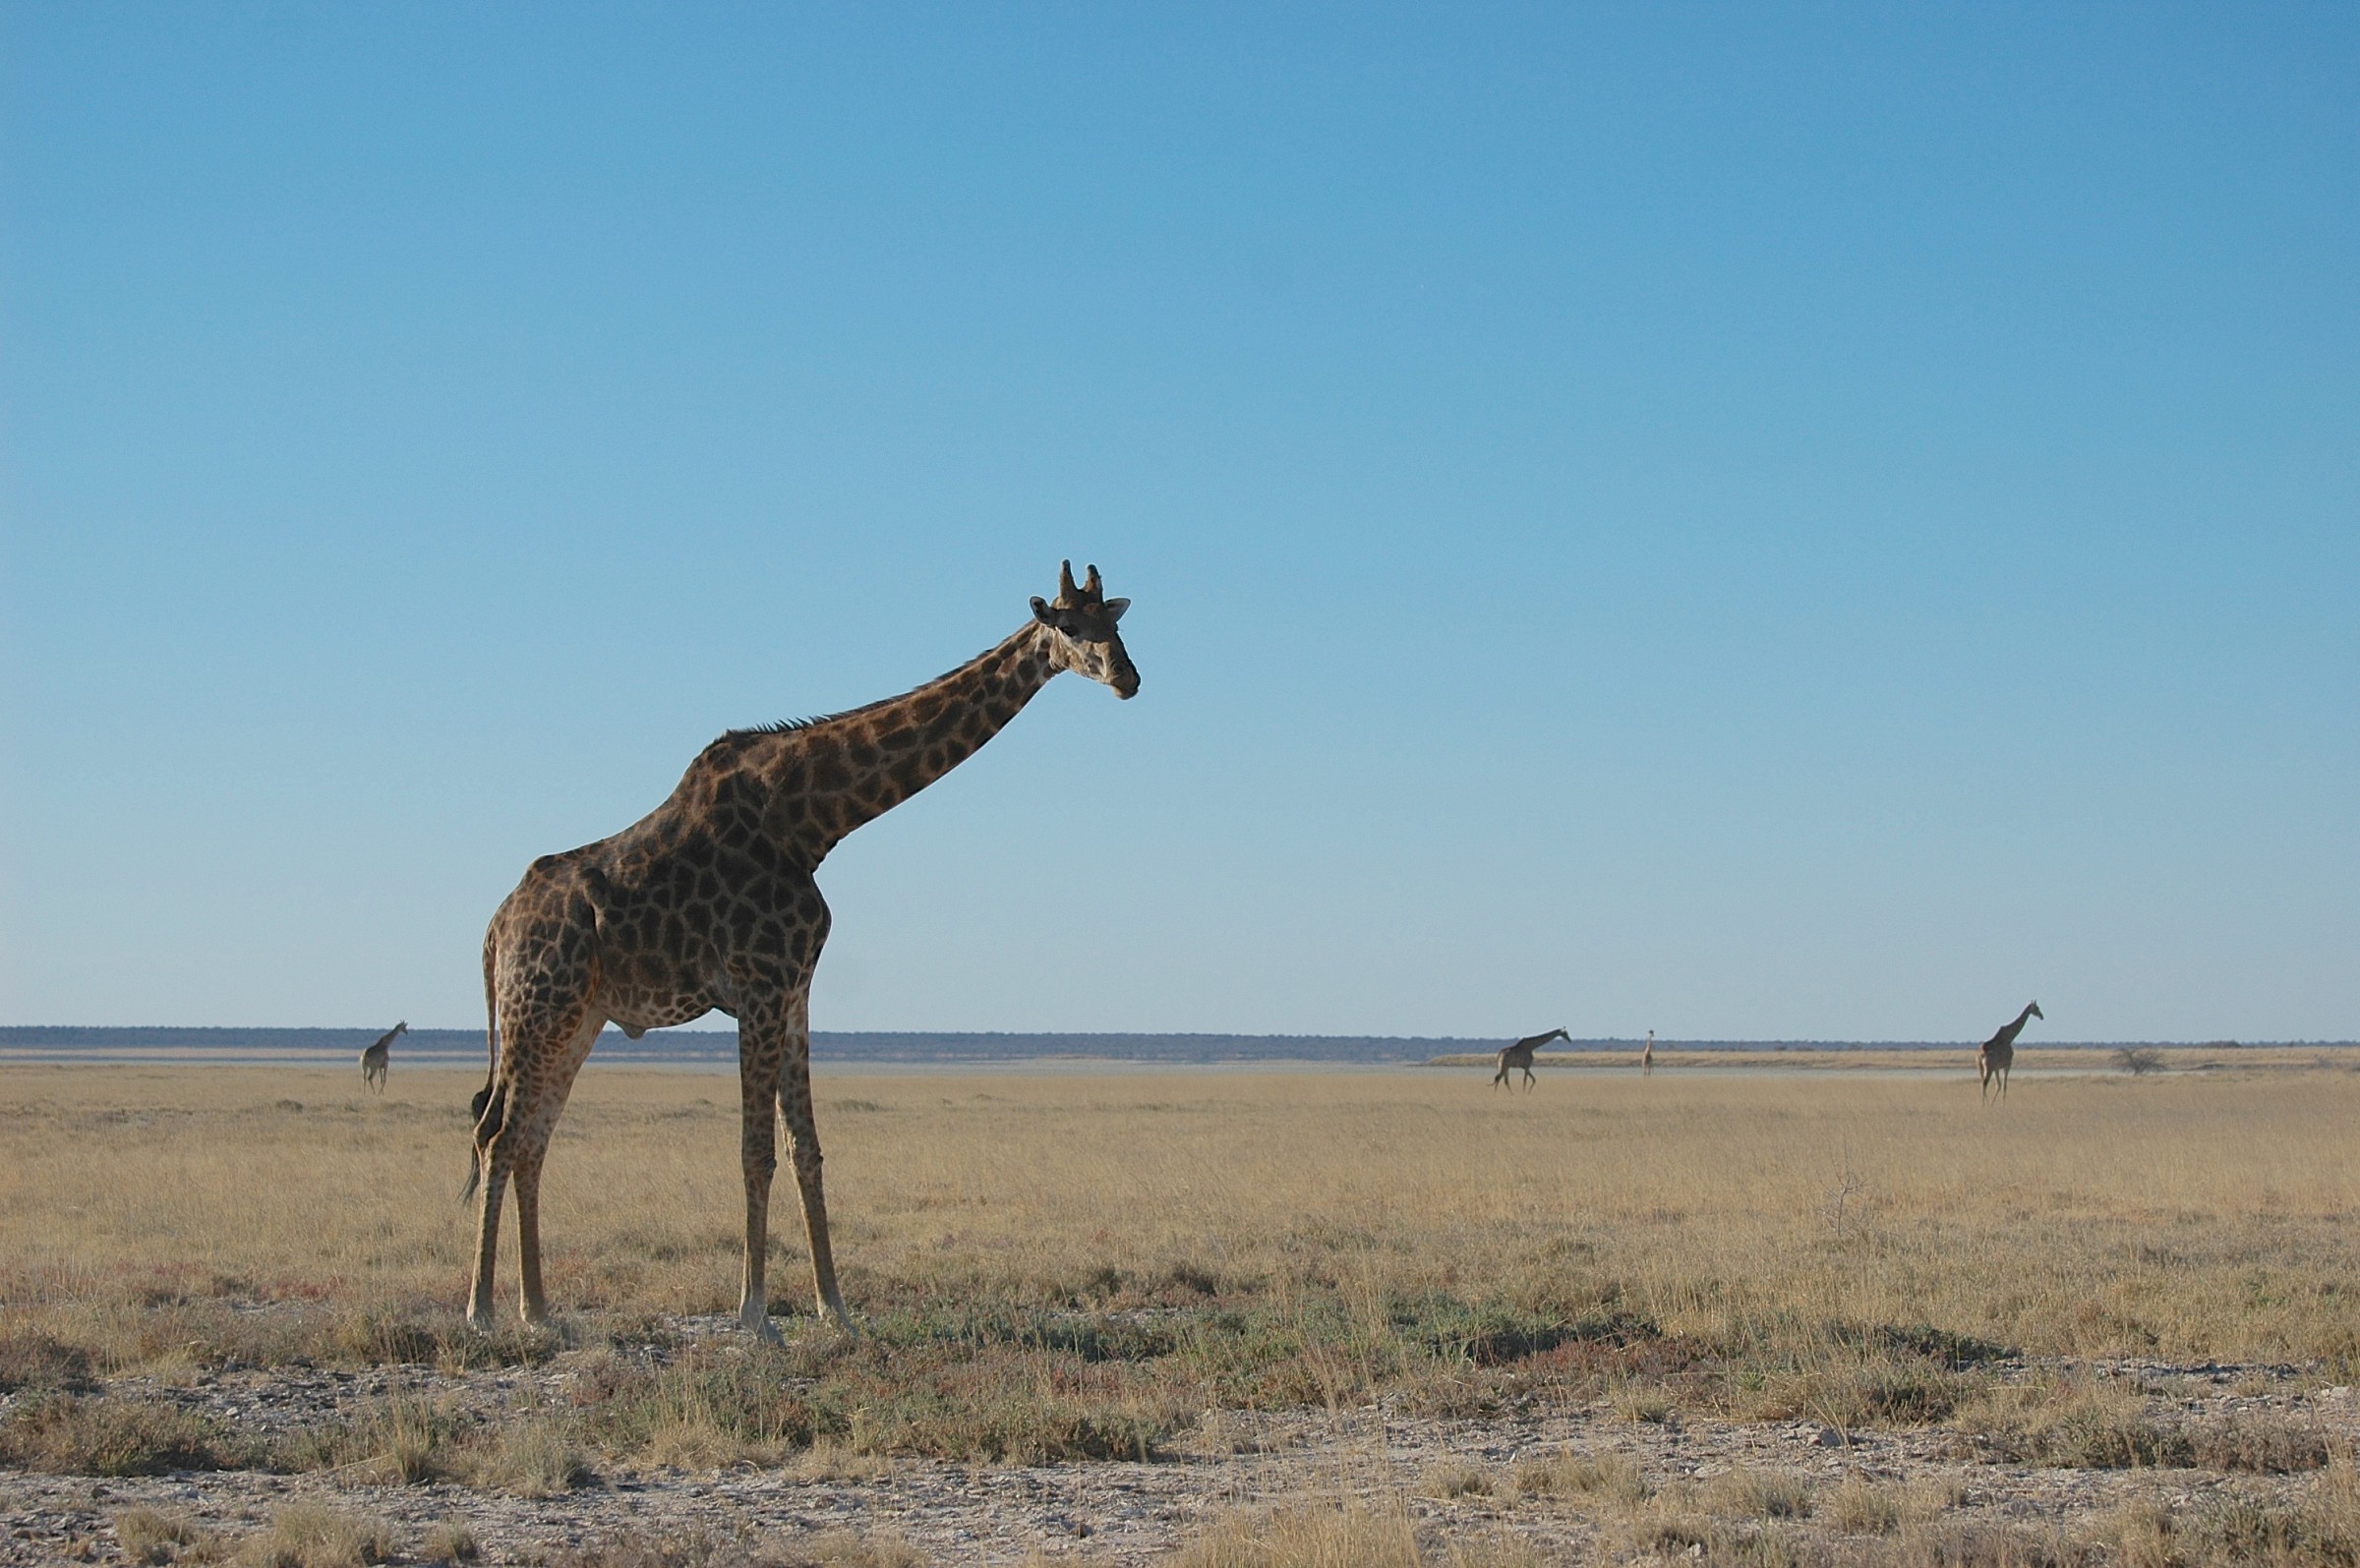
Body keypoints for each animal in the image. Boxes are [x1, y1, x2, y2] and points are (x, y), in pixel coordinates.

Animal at [461, 562, 1138, 1338]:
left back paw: (540, 1312)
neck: (812, 821)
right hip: (535, 1008)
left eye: (1118, 625)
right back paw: (482, 1311)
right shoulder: (758, 984)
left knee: (532, 1139)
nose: (1129, 678)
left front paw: (835, 1308)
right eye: (1072, 627)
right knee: (498, 1135)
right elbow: (755, 1152)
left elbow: (805, 1150)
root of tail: (495, 928)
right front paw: (756, 1315)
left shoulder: (795, 990)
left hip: (577, 1019)